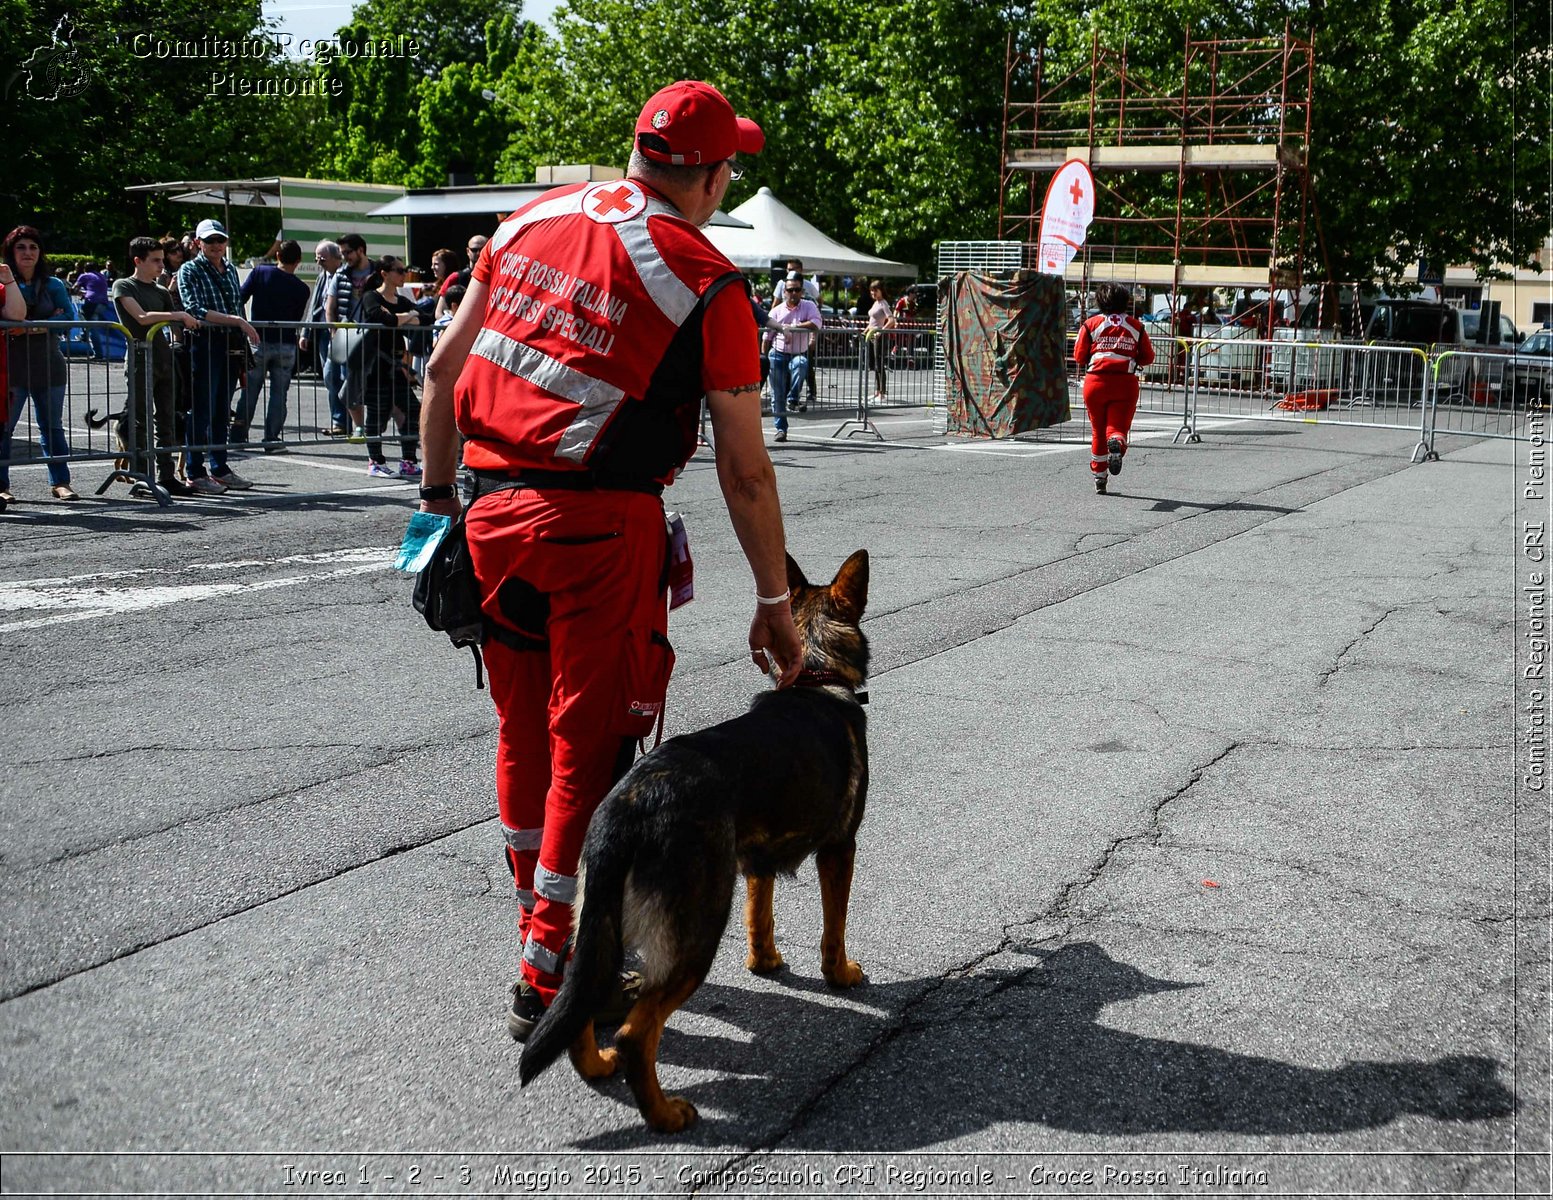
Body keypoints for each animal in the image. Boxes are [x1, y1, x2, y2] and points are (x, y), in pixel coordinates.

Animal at [521, 546, 875, 1130]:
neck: (816, 671)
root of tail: (627, 807)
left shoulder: (755, 864)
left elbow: (760, 918)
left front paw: (766, 964)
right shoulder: (839, 849)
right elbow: (835, 927)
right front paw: (840, 975)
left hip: (602, 928)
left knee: (581, 996)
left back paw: (596, 1067)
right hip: (697, 932)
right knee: (637, 1032)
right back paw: (663, 1114)